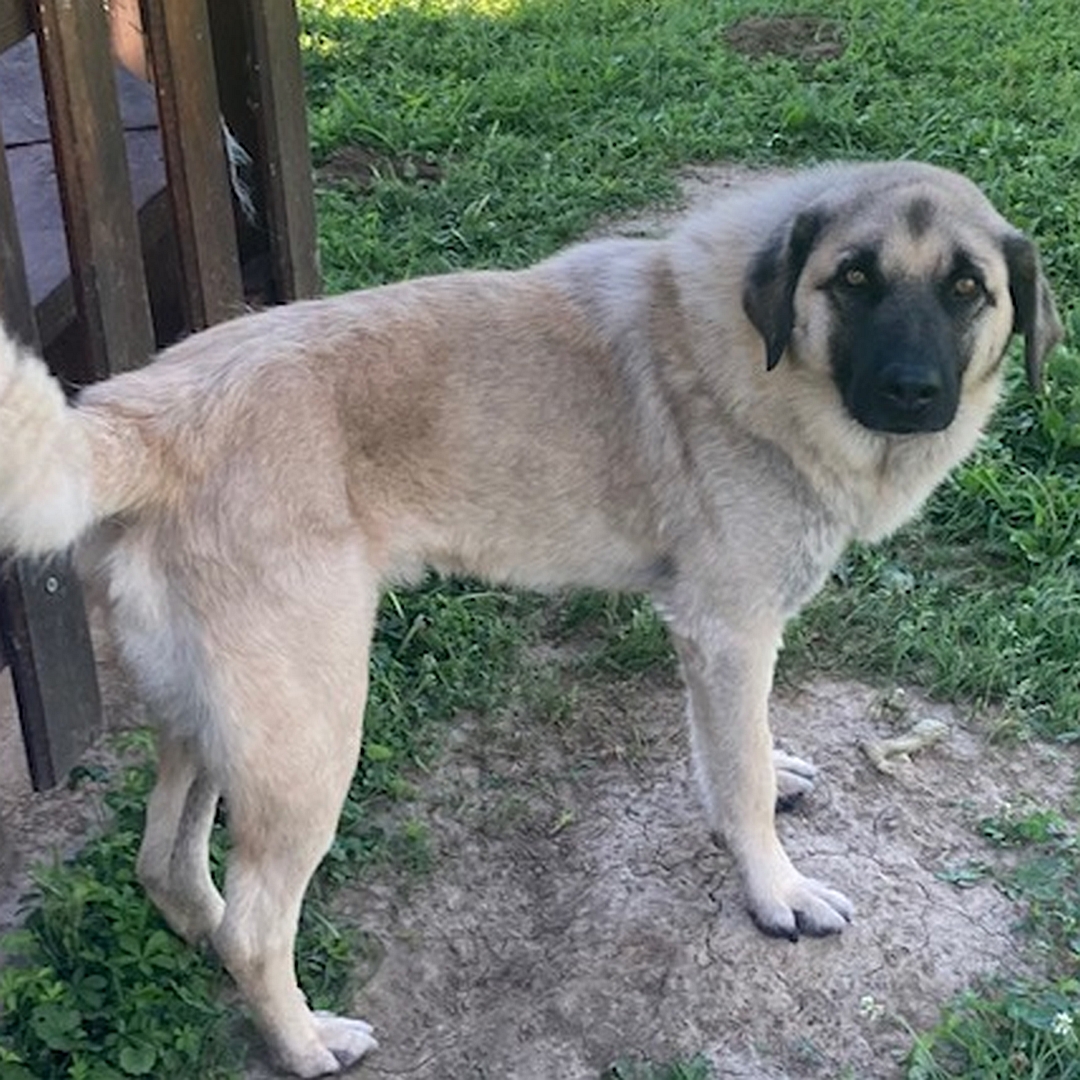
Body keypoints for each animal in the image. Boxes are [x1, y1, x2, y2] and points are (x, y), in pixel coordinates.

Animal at [0, 157, 1062, 1071]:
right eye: (854, 278)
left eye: (967, 288)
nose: (911, 393)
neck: (765, 365)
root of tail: (146, 409)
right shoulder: (729, 632)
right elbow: (744, 782)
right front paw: (777, 894)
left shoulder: (704, 639)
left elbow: (735, 755)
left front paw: (766, 779)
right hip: (311, 737)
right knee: (258, 926)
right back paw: (304, 1044)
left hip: (212, 723)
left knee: (169, 867)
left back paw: (203, 937)